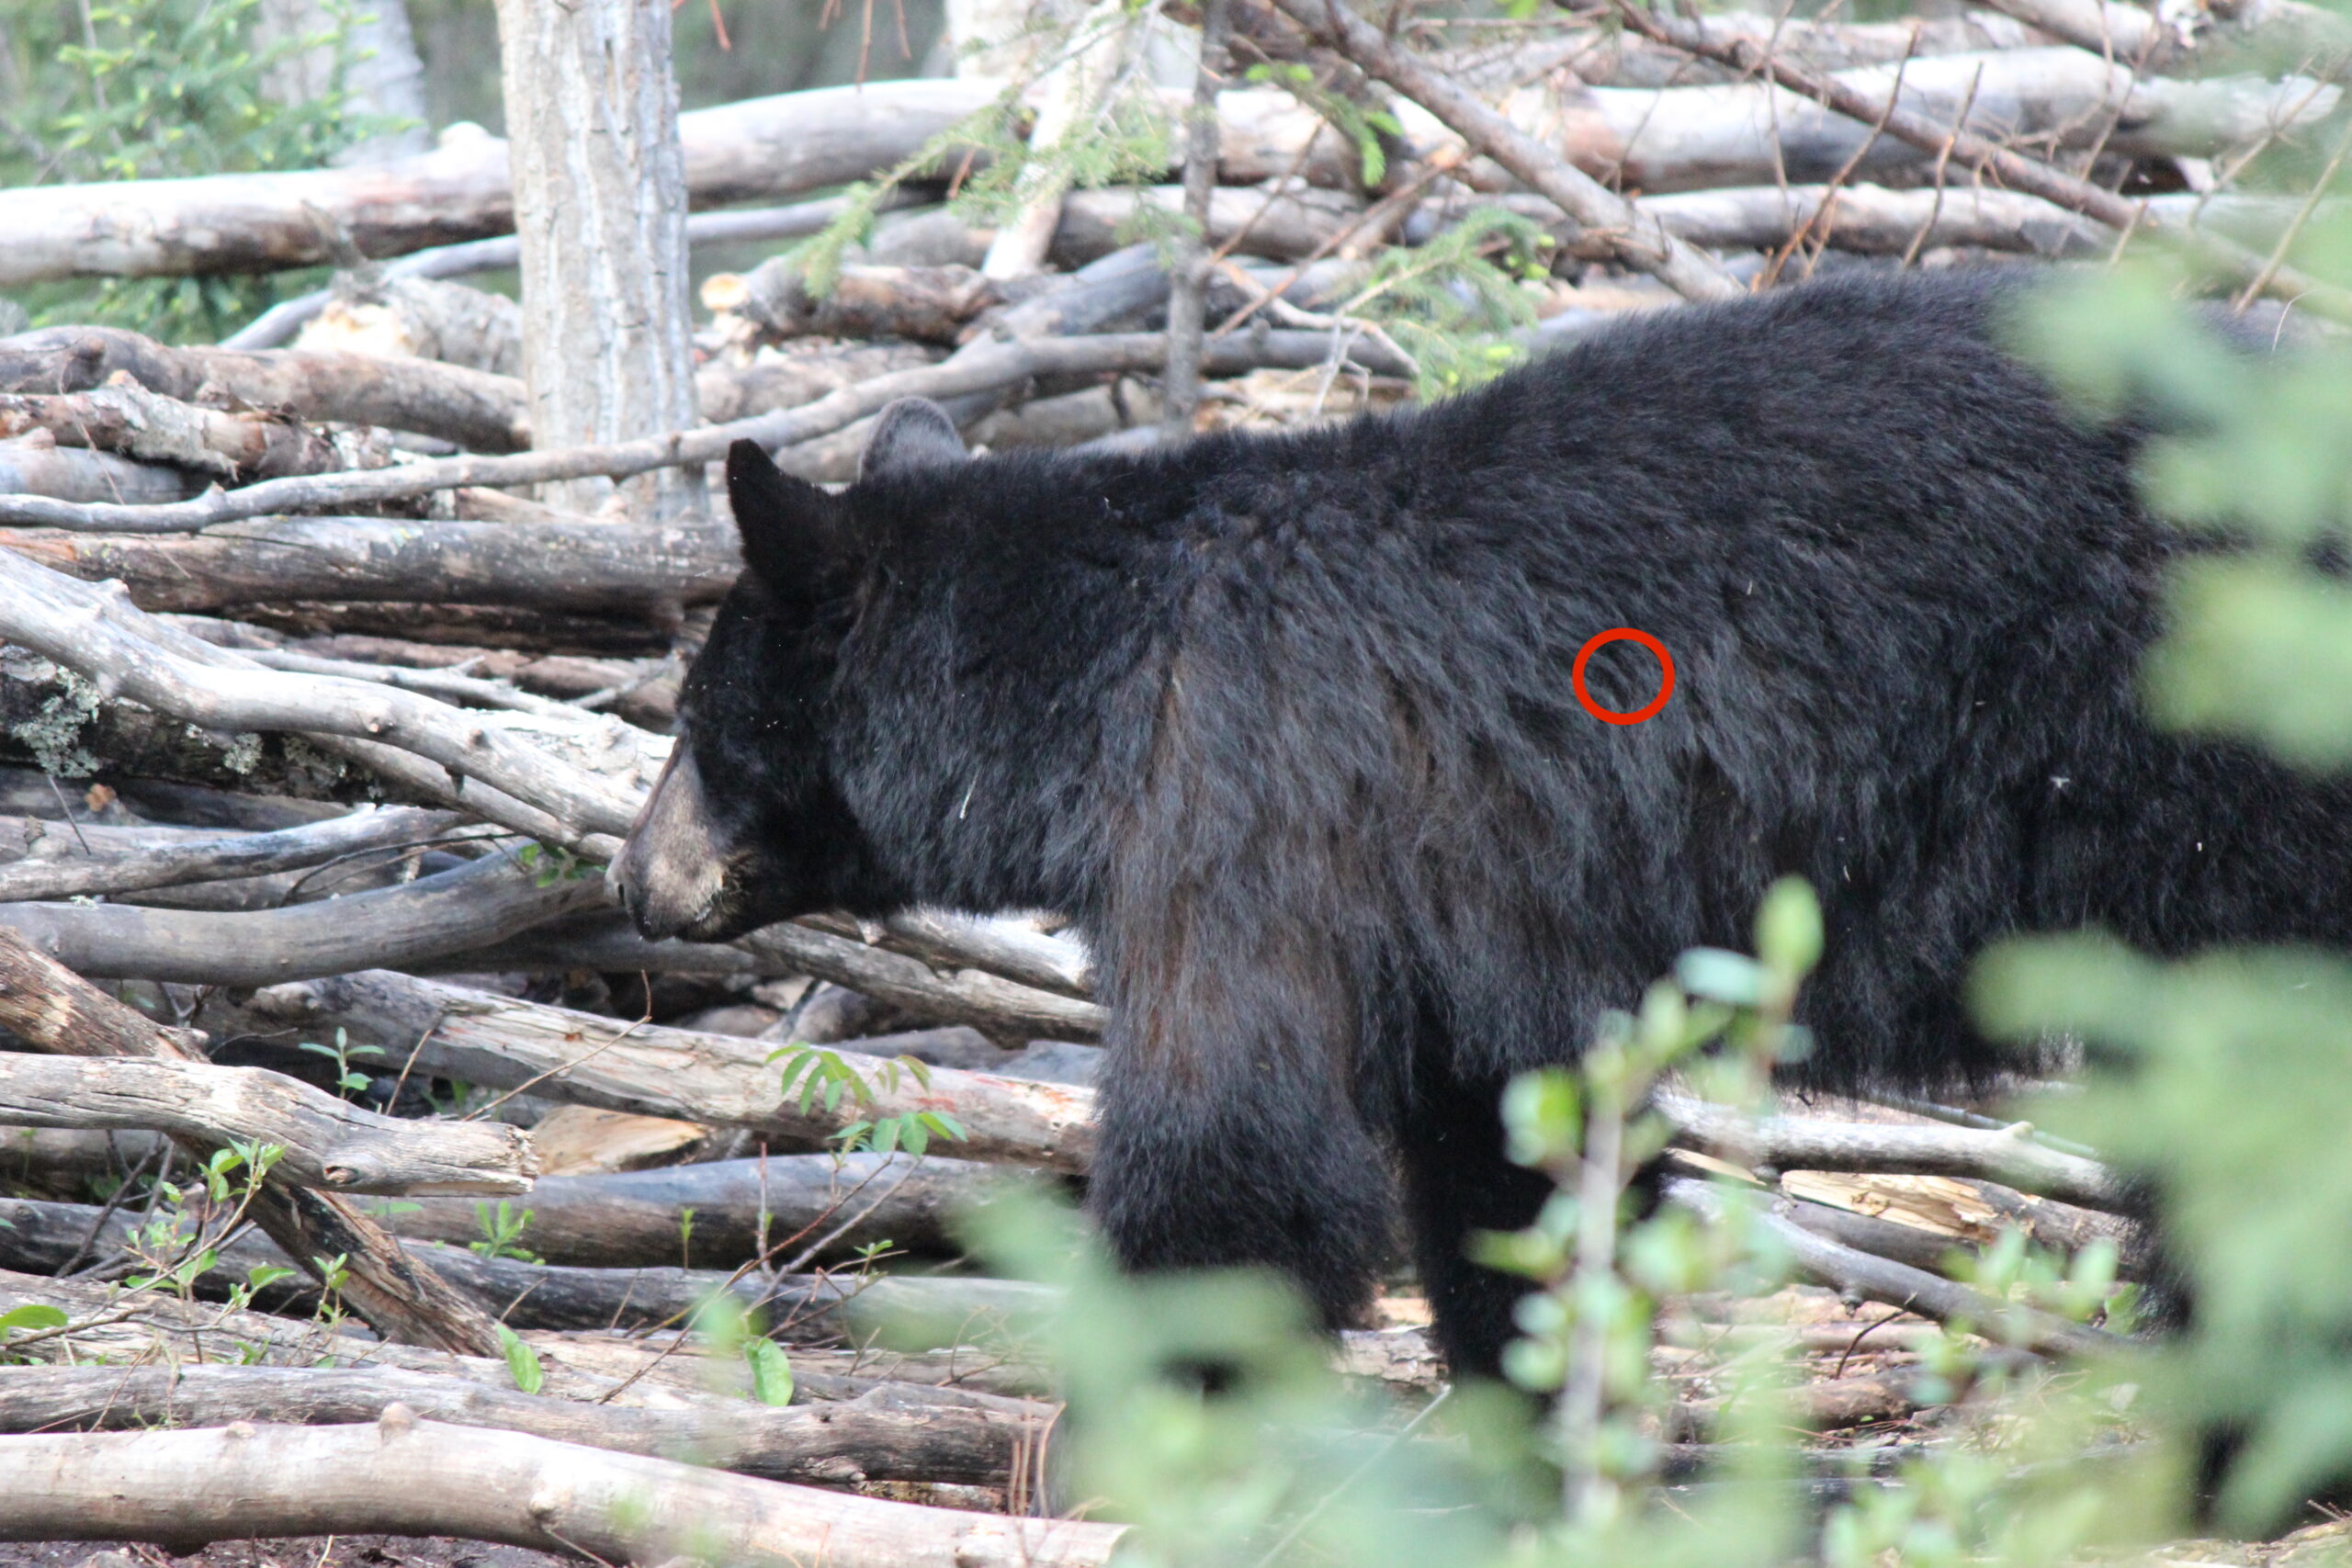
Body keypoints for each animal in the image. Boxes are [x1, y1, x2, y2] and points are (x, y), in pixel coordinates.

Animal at [611, 269, 2352, 1383]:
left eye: (694, 725)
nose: (634, 879)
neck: (1093, 671)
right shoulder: (1464, 920)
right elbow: (1508, 1158)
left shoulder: (1240, 810)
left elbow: (1233, 1142)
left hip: (2214, 778)